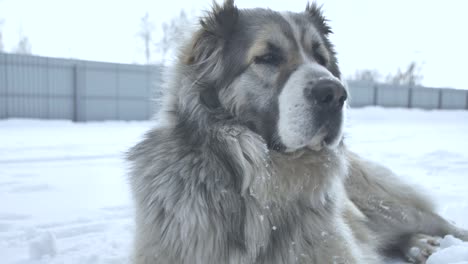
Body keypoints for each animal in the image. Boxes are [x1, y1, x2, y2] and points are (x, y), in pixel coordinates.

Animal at [126, 1, 466, 262]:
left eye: (322, 59)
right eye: (268, 58)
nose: (335, 93)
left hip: (387, 207)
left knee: (440, 222)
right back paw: (420, 246)